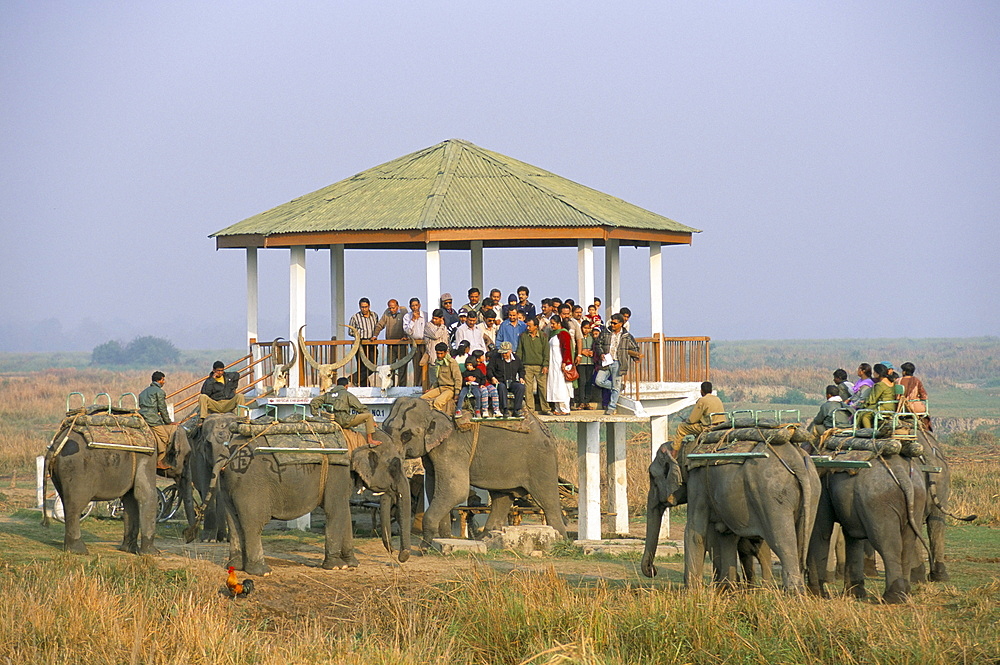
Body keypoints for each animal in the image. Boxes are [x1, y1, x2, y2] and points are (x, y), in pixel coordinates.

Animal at [44, 404, 191, 556]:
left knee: (66, 502)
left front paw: (129, 550)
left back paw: (70, 549)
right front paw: (153, 554)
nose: (187, 536)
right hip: (77, 471)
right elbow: (146, 495)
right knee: (75, 505)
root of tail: (56, 445)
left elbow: (131, 498)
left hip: (59, 473)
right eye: (187, 458)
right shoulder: (147, 457)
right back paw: (80, 551)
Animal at [221, 426, 412, 576]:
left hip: (228, 489)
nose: (397, 554)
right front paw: (337, 567)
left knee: (233, 521)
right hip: (251, 486)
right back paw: (262, 572)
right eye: (395, 465)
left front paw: (352, 564)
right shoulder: (337, 471)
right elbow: (336, 509)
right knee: (253, 524)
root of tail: (231, 457)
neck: (359, 435)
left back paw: (236, 566)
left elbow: (345, 511)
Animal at [378, 394, 568, 544]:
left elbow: (455, 490)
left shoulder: (453, 446)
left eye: (406, 435)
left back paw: (561, 540)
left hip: (541, 460)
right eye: (384, 428)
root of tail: (546, 429)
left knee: (547, 501)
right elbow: (434, 488)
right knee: (501, 497)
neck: (433, 408)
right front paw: (442, 538)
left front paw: (425, 547)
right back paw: (486, 538)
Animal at [640, 440, 820, 592]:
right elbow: (725, 534)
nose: (653, 569)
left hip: (771, 496)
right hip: (813, 491)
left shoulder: (697, 482)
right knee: (800, 542)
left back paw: (792, 595)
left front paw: (692, 594)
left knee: (782, 544)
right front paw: (727, 590)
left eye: (651, 477)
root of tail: (796, 459)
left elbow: (694, 532)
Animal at [804, 452, 928, 600]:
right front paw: (854, 594)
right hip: (918, 497)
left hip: (878, 501)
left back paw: (892, 598)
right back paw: (906, 593)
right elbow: (852, 538)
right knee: (908, 543)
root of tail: (901, 471)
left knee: (888, 545)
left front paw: (815, 595)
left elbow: (821, 532)